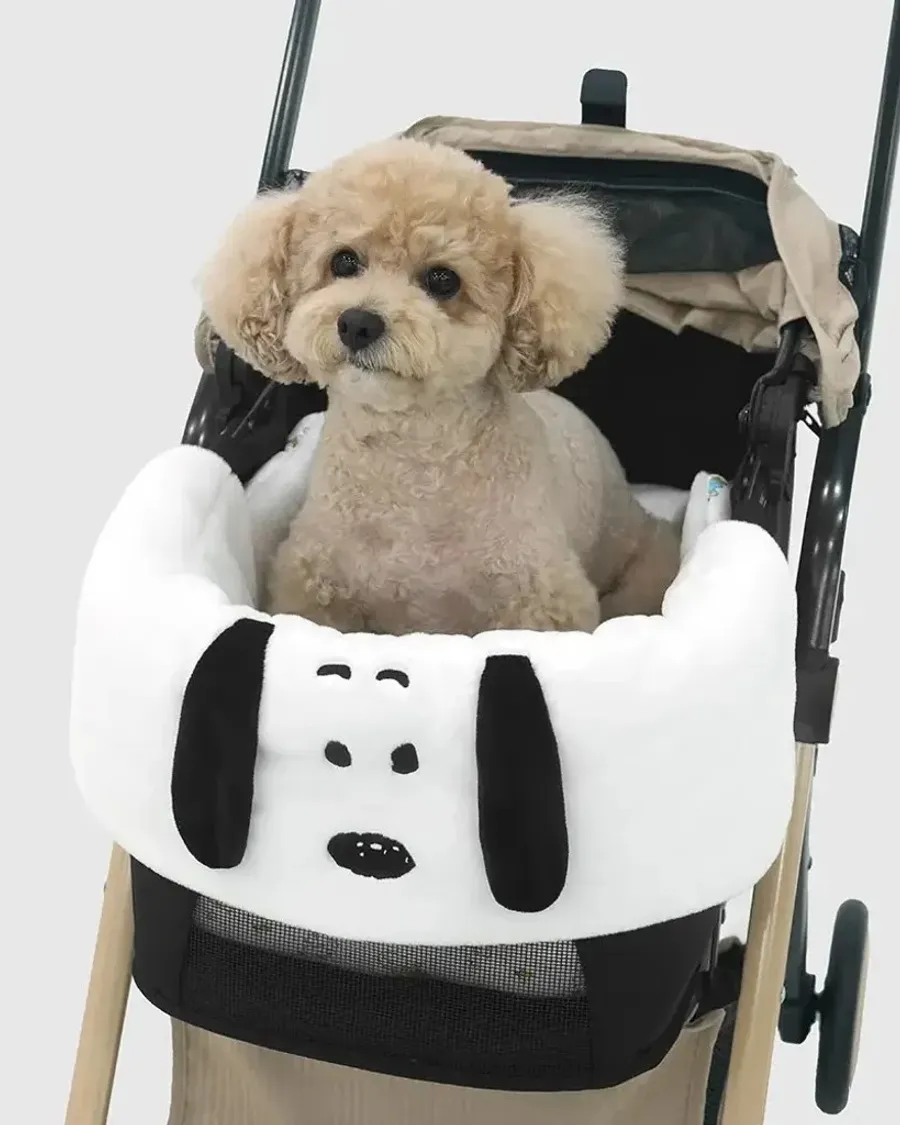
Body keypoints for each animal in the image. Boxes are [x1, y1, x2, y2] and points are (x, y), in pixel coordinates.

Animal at [200, 137, 680, 634]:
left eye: (443, 279)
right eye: (344, 261)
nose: (357, 323)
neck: (412, 460)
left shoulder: (540, 597)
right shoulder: (314, 581)